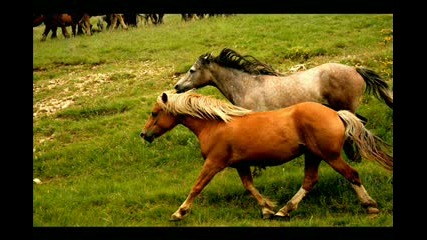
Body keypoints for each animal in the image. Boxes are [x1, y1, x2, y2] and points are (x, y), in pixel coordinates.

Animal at [141, 90, 394, 221]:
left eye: (154, 113)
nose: (144, 135)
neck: (215, 124)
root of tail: (336, 114)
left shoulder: (214, 163)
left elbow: (196, 187)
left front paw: (179, 212)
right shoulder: (241, 165)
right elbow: (250, 187)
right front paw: (267, 209)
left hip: (330, 156)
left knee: (352, 175)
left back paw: (370, 206)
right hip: (313, 155)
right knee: (310, 181)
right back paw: (284, 210)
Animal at [174, 48, 394, 169]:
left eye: (192, 70)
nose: (177, 86)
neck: (247, 85)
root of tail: (355, 69)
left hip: (345, 107)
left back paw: (355, 158)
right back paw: (355, 159)